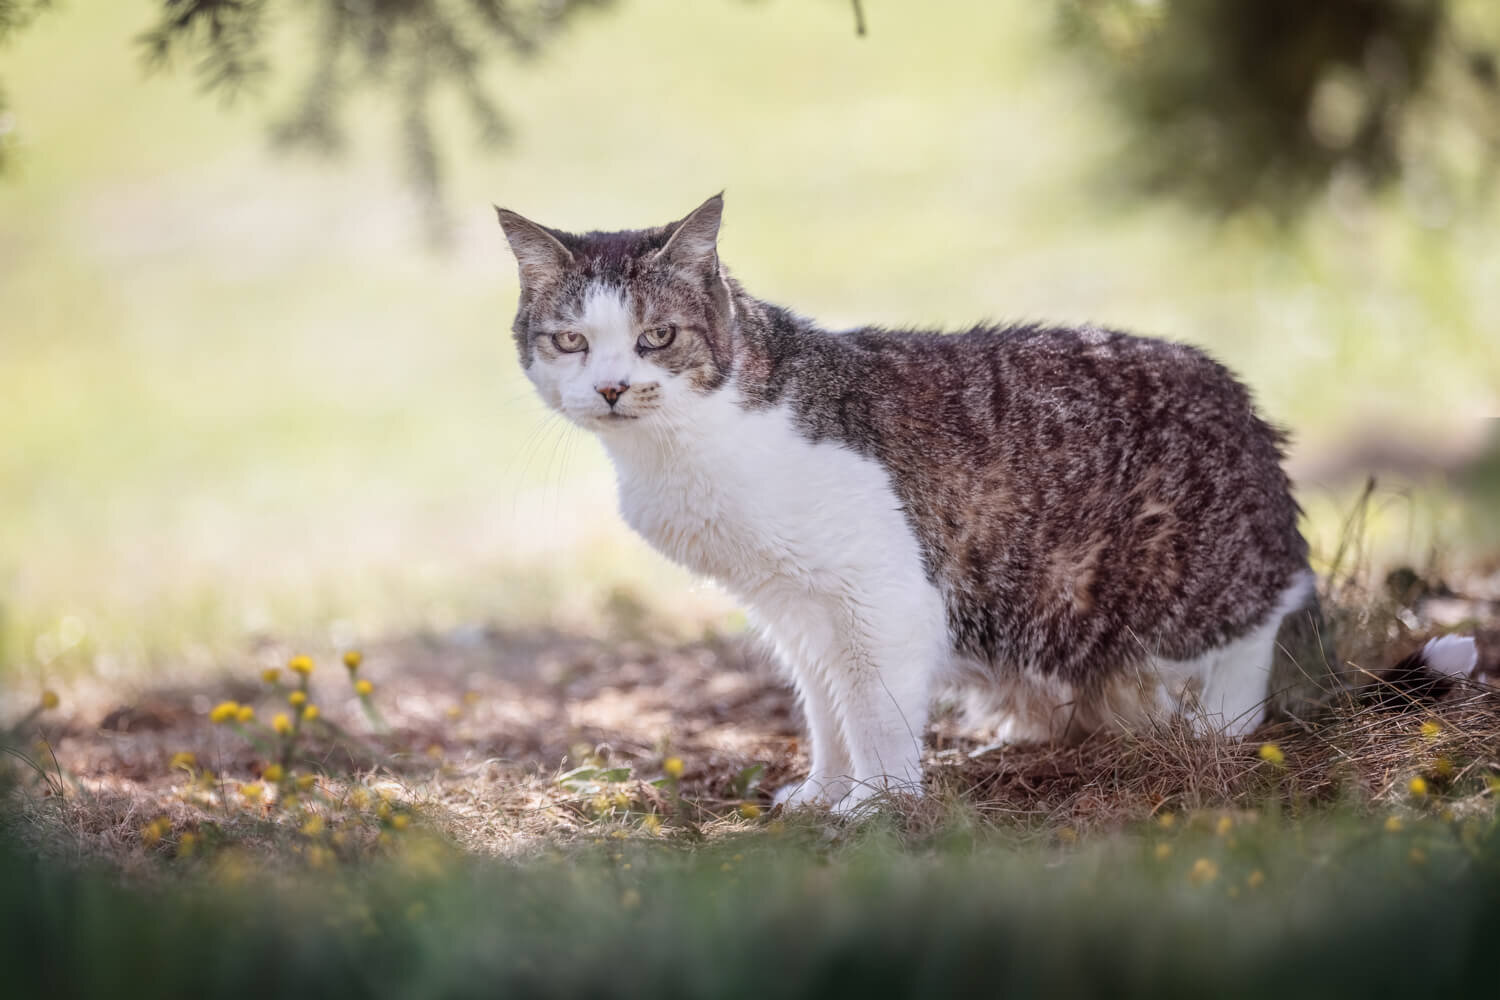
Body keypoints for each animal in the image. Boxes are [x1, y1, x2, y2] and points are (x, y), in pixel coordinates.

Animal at [498, 193, 1482, 815]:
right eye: (571, 341)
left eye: (657, 337)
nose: (613, 387)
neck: (688, 447)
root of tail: (1251, 423)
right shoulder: (795, 608)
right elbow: (826, 713)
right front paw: (822, 792)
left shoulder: (878, 597)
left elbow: (876, 715)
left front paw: (877, 806)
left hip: (1189, 579)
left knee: (1251, 641)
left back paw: (1211, 727)